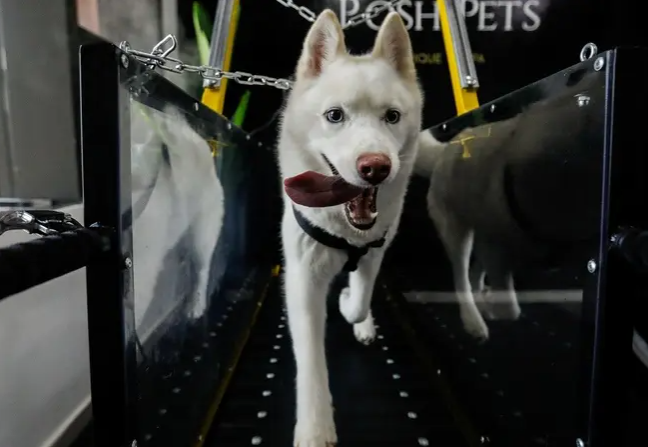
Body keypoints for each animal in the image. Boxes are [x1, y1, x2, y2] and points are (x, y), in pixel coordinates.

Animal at [278, 8, 420, 446]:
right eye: (334, 115)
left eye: (392, 116)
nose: (376, 167)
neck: (346, 230)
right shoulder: (302, 276)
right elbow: (310, 359)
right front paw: (314, 427)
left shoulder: (374, 252)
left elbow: (358, 301)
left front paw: (349, 306)